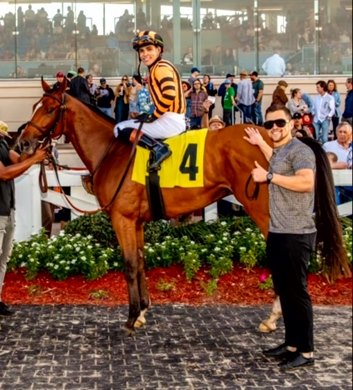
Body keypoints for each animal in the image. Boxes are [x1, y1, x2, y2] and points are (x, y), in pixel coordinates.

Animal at [18, 79, 350, 336]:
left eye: (49, 109)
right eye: (34, 105)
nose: (23, 143)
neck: (111, 151)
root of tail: (284, 138)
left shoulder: (121, 218)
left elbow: (129, 264)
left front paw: (131, 318)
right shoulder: (136, 221)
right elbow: (141, 261)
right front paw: (143, 312)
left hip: (265, 210)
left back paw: (273, 316)